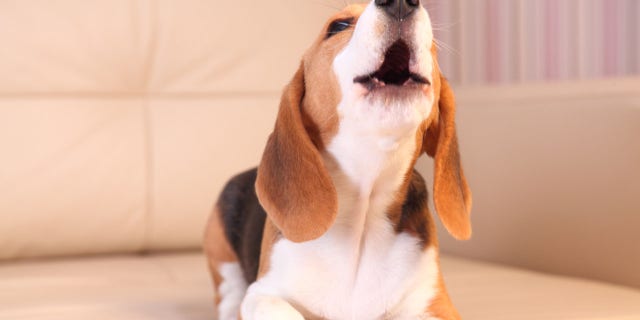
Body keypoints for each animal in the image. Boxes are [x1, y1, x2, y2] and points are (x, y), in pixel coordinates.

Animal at [205, 1, 470, 318]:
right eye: (339, 26)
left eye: (433, 44)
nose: (400, 3)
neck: (361, 217)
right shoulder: (262, 293)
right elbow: (277, 306)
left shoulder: (434, 302)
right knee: (229, 294)